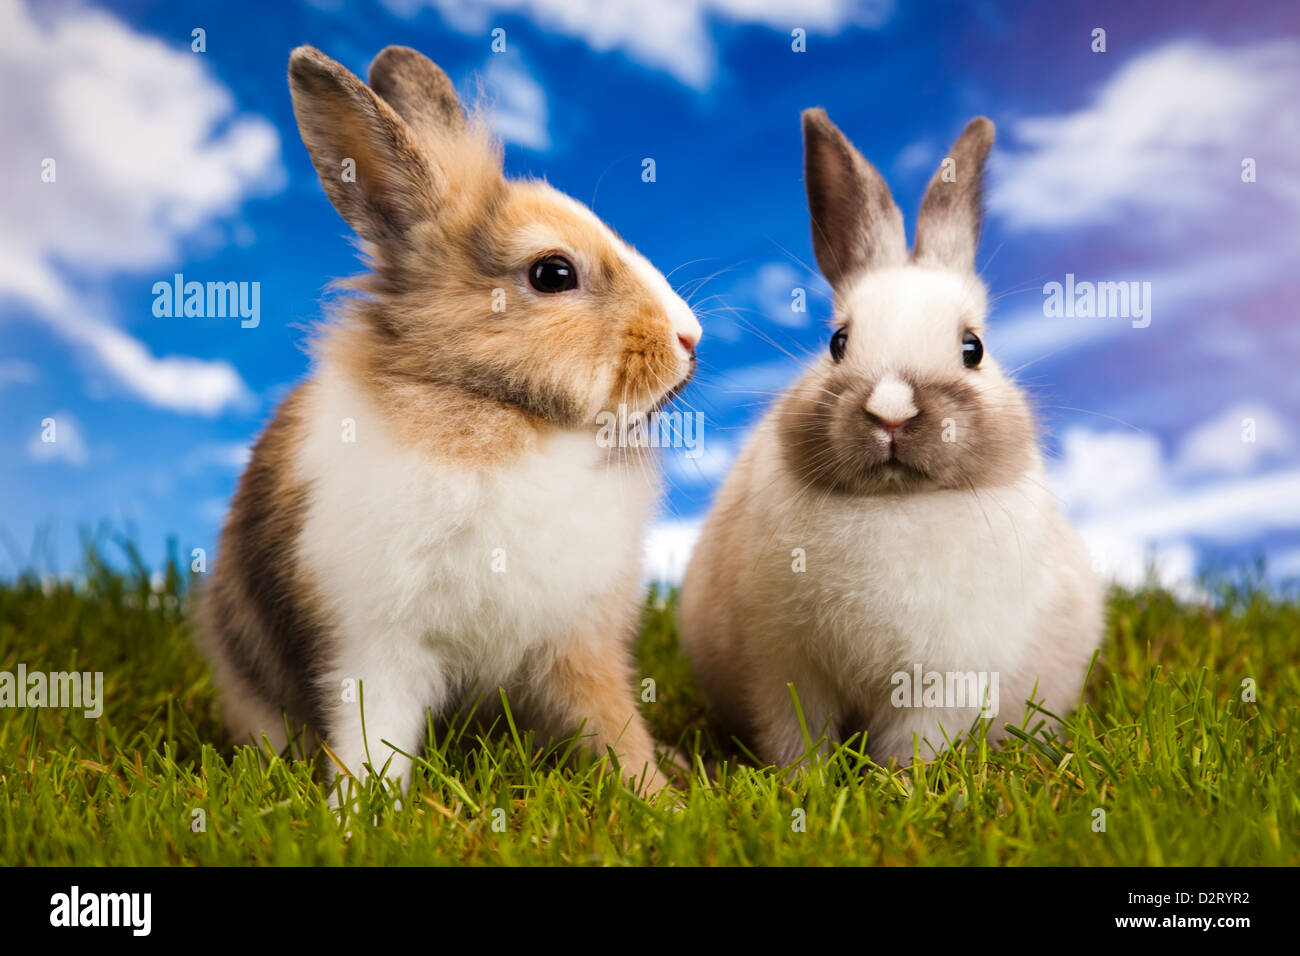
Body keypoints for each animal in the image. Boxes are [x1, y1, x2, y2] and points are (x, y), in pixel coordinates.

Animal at [197, 45, 701, 798]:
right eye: (553, 273)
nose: (689, 337)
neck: (505, 414)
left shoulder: (580, 639)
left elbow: (615, 728)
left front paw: (659, 798)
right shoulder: (378, 643)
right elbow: (373, 736)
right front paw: (355, 809)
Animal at [679, 109, 1102, 768]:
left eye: (973, 348)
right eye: (838, 343)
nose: (892, 414)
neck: (894, 501)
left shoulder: (941, 682)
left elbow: (913, 745)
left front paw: (901, 782)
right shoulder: (784, 670)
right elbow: (796, 735)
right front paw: (805, 782)